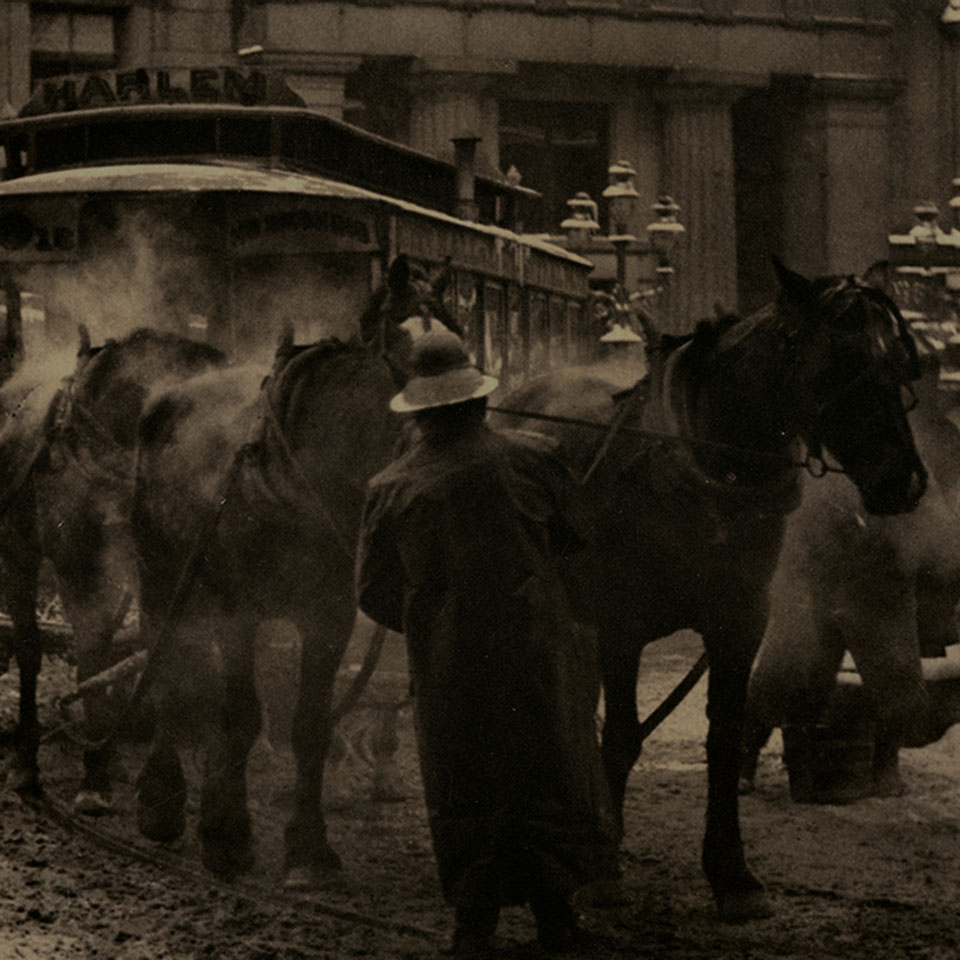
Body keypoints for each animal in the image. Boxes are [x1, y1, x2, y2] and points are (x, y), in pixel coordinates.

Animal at [0, 326, 227, 808]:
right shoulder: (79, 564)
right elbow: (89, 654)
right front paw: (94, 779)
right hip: (17, 553)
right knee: (29, 647)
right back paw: (26, 759)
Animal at [127, 253, 454, 884]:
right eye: (409, 358)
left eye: (464, 345)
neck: (293, 470)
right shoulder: (236, 612)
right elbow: (240, 715)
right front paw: (226, 836)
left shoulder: (328, 616)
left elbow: (311, 726)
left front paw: (308, 849)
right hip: (161, 574)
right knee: (166, 668)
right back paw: (162, 797)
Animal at [492, 256, 928, 924]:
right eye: (843, 359)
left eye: (900, 360)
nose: (905, 482)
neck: (702, 473)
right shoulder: (620, 627)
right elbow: (622, 737)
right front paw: (604, 870)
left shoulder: (738, 625)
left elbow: (723, 738)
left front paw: (732, 874)